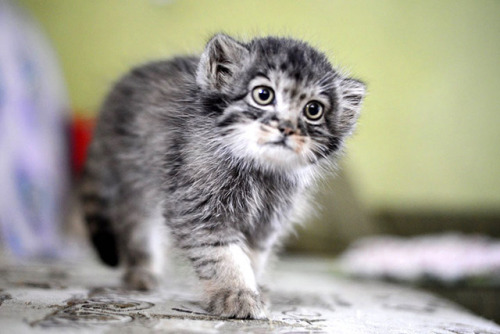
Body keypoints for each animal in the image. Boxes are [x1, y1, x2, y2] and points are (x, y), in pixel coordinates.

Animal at [80, 34, 366, 318]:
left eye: (313, 110)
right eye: (263, 95)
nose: (286, 127)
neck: (258, 170)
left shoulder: (266, 222)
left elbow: (251, 258)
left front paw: (253, 288)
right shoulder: (198, 208)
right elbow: (223, 255)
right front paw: (236, 294)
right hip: (136, 188)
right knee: (138, 233)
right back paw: (142, 274)